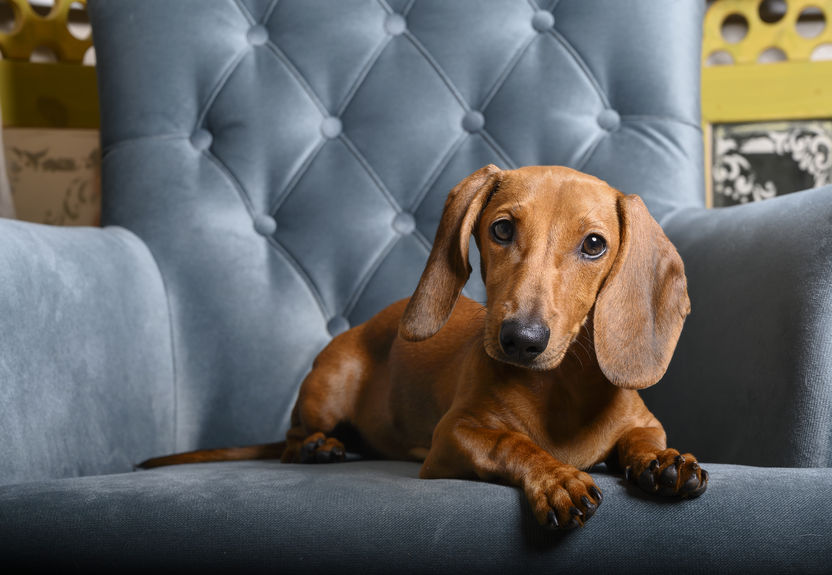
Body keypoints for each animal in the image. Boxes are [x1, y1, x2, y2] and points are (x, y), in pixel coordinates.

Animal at [138, 165, 708, 532]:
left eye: (594, 244)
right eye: (502, 228)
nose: (520, 339)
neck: (559, 387)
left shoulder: (643, 422)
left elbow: (642, 441)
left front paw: (665, 463)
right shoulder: (453, 437)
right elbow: (513, 443)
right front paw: (556, 477)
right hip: (328, 385)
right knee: (291, 439)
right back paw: (316, 447)